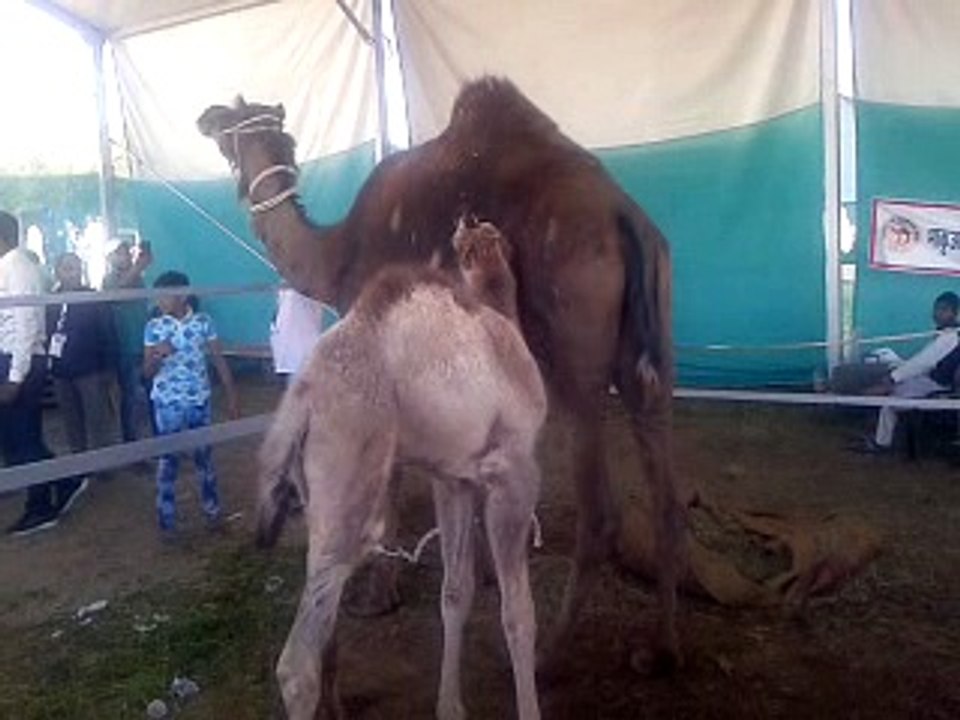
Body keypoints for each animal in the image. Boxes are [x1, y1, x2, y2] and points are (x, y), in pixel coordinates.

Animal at [198, 77, 682, 670]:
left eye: (229, 128)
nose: (204, 118)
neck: (337, 254)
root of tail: (623, 216)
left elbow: (390, 479)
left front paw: (378, 594)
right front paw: (484, 572)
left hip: (577, 359)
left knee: (599, 512)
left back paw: (550, 652)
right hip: (651, 353)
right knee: (665, 492)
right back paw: (664, 648)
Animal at [257, 260, 546, 720]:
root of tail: (302, 399)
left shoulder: (453, 479)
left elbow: (455, 592)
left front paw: (450, 706)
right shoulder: (514, 471)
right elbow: (518, 615)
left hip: (319, 498)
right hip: (357, 490)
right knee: (295, 666)